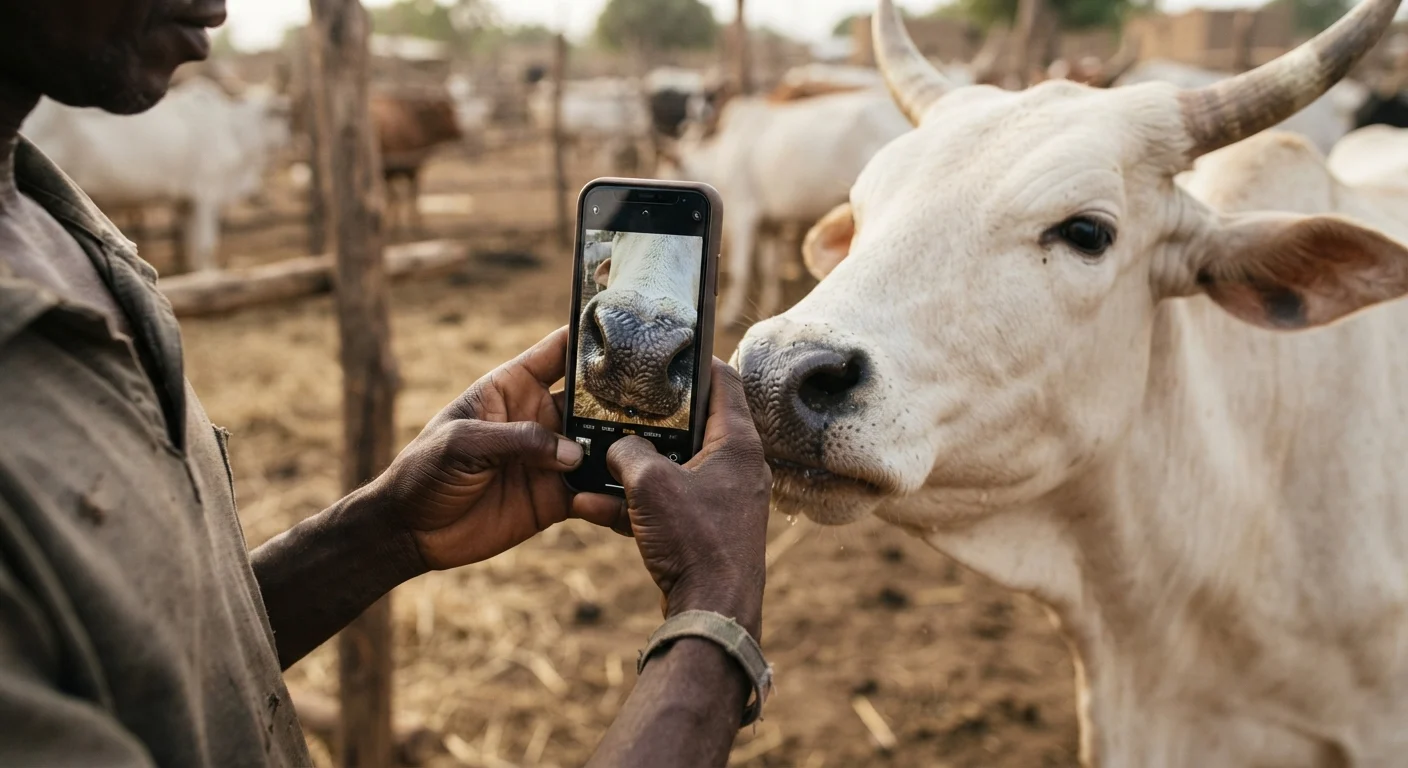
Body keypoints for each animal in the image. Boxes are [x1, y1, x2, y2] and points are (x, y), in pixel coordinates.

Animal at [21, 77, 290, 273]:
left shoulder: (185, 202)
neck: (236, 130)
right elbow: (205, 247)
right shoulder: (206, 197)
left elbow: (190, 248)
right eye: (278, 115)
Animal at [660, 88, 911, 327]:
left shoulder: (743, 214)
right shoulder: (771, 224)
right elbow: (770, 267)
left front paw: (729, 314)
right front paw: (766, 307)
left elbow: (740, 270)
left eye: (669, 171)